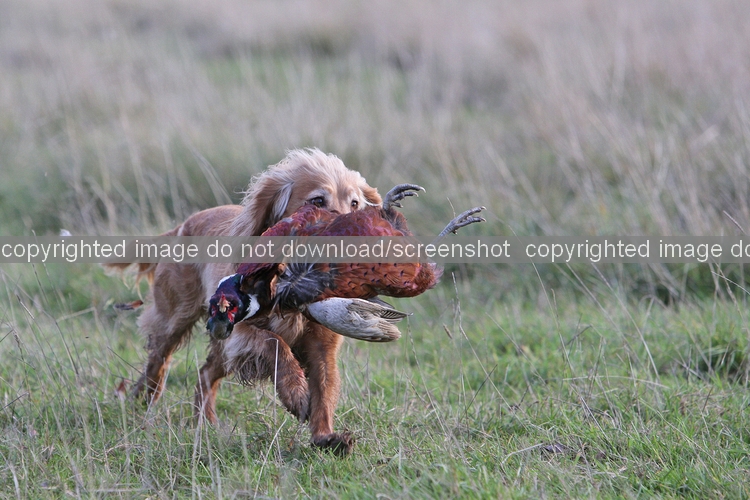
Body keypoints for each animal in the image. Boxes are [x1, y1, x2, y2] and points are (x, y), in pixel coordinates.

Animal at [108, 148, 381, 454]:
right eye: (318, 201)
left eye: (355, 203)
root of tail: (183, 225)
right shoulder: (241, 332)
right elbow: (276, 344)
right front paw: (296, 393)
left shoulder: (322, 345)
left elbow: (324, 390)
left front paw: (326, 437)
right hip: (176, 319)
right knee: (159, 359)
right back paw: (142, 399)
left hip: (220, 345)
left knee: (204, 374)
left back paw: (205, 422)